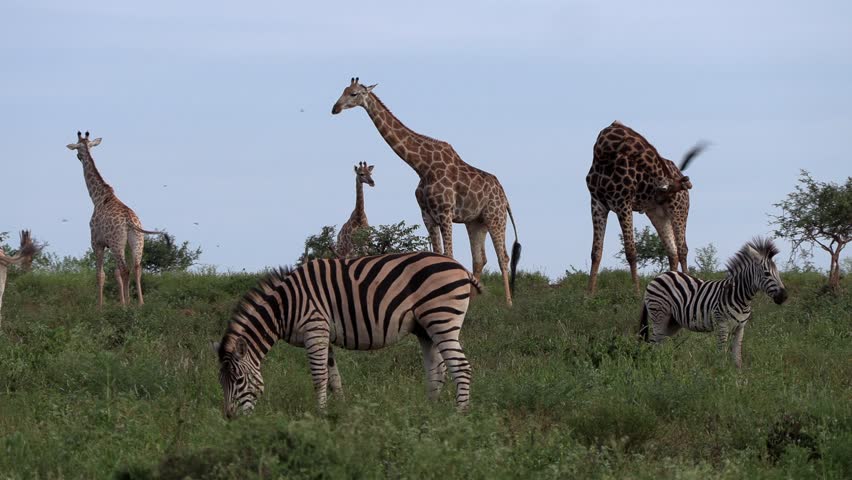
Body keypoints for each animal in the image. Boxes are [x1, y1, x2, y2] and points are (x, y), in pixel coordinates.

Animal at [66, 131, 166, 306]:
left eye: (77, 148)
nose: (78, 156)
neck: (98, 198)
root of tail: (130, 220)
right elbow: (115, 273)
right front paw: (122, 302)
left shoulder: (97, 242)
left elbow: (101, 275)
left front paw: (100, 307)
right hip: (137, 241)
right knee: (137, 268)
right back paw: (140, 304)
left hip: (116, 242)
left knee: (125, 269)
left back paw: (127, 306)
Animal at [212, 251, 479, 418]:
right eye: (220, 381)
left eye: (238, 380)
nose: (230, 418)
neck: (284, 306)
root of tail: (462, 268)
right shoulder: (323, 336)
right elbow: (334, 379)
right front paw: (339, 411)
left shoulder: (314, 330)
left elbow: (319, 377)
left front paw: (319, 415)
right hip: (425, 328)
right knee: (437, 370)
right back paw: (429, 411)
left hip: (441, 318)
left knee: (461, 367)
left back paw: (460, 414)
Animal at [332, 78, 521, 306]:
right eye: (343, 90)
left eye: (354, 94)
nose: (334, 108)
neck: (422, 166)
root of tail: (505, 197)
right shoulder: (427, 215)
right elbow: (438, 254)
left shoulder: (445, 212)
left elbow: (449, 254)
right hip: (476, 222)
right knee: (479, 259)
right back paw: (474, 301)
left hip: (495, 216)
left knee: (503, 257)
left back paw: (509, 303)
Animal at [586, 121, 706, 295]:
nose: (686, 184)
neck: (605, 151)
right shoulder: (597, 203)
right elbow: (596, 252)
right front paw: (588, 294)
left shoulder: (622, 202)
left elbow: (631, 251)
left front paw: (635, 293)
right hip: (658, 214)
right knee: (672, 252)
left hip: (679, 210)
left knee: (682, 249)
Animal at [639, 237, 788, 368]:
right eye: (767, 273)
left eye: (778, 272)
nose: (784, 296)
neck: (739, 296)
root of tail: (657, 277)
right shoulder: (722, 325)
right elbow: (721, 353)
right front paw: (720, 374)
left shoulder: (740, 328)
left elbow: (737, 357)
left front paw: (738, 378)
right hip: (659, 314)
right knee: (653, 344)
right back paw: (656, 368)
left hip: (672, 322)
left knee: (659, 344)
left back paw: (665, 366)